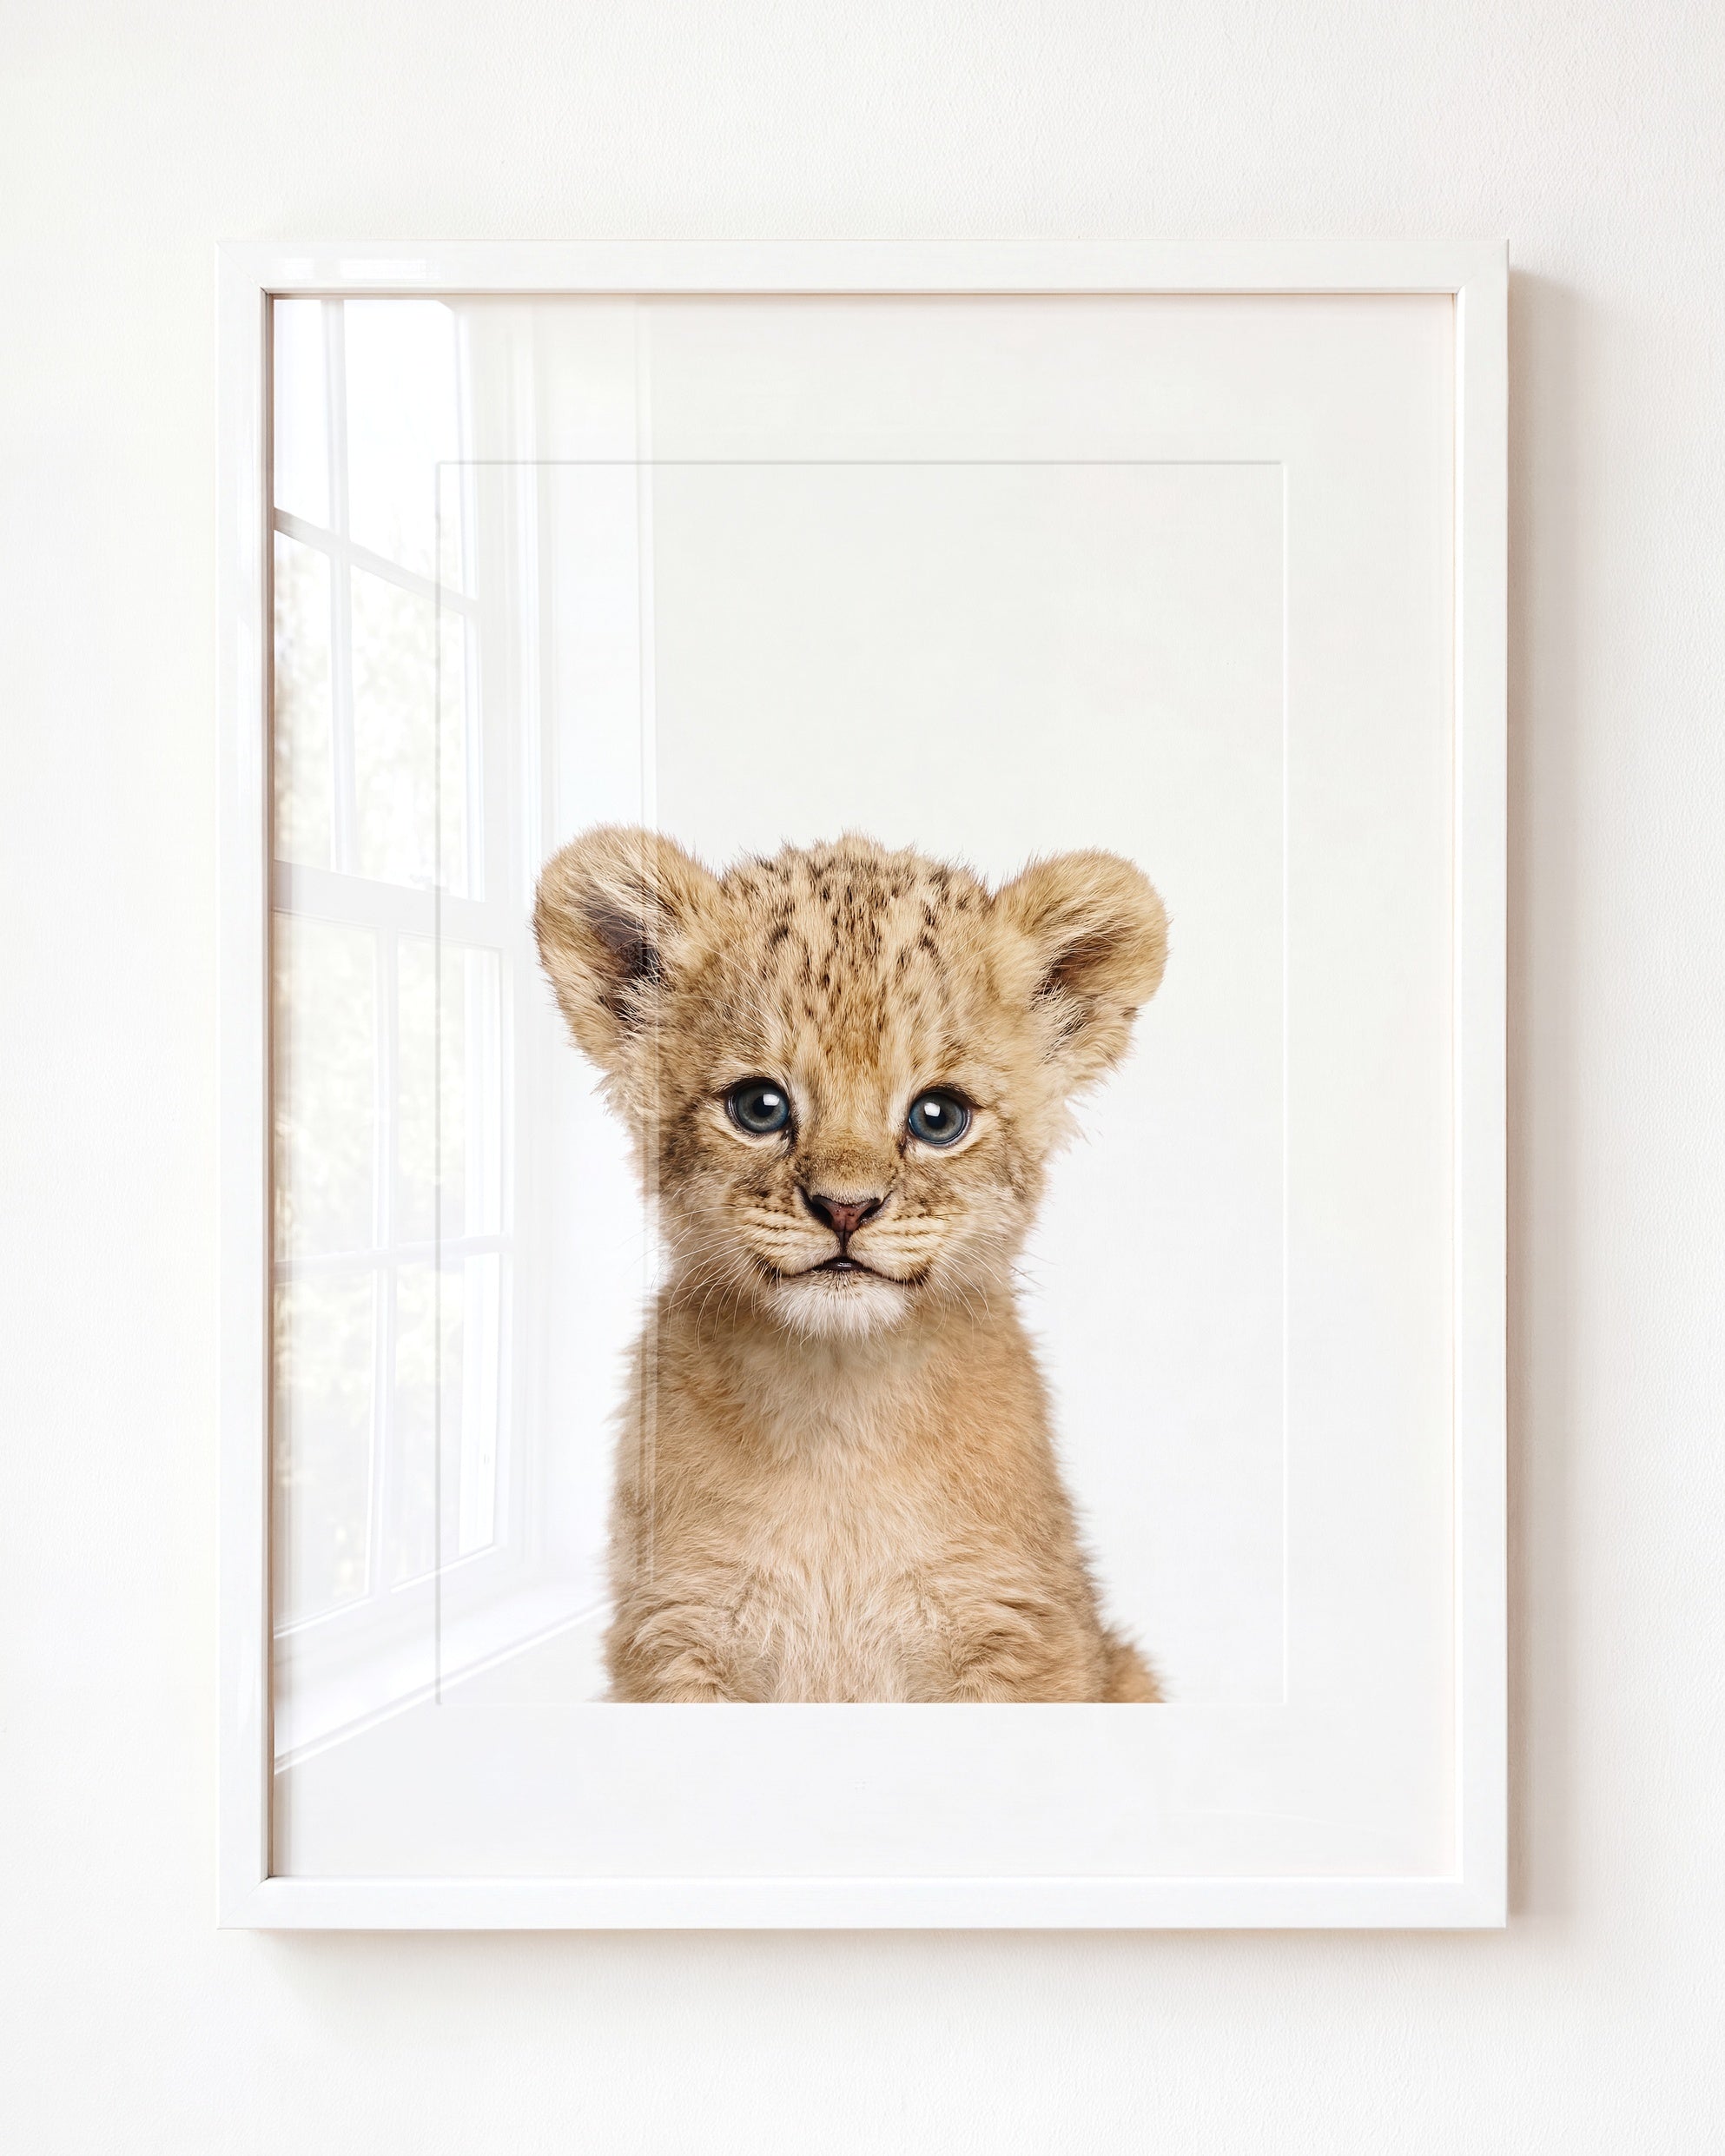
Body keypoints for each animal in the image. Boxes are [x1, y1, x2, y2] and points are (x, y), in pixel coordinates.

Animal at [534, 827, 1168, 1702]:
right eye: (759, 1107)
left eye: (938, 1117)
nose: (845, 1208)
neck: (838, 1412)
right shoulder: (676, 1633)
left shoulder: (1019, 1631)